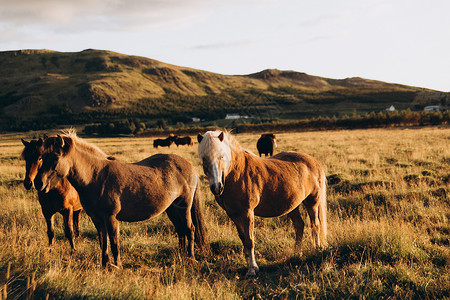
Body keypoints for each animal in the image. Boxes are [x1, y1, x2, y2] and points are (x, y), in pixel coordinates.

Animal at [35, 131, 211, 268]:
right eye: (42, 157)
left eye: (55, 158)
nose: (38, 183)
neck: (96, 177)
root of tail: (189, 165)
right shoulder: (97, 220)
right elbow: (103, 241)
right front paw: (105, 265)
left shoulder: (111, 218)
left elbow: (114, 242)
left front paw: (117, 265)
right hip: (172, 209)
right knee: (180, 230)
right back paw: (181, 256)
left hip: (184, 207)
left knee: (189, 229)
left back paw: (191, 259)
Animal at [197, 130, 326, 276]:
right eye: (204, 159)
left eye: (221, 156)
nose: (217, 187)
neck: (236, 173)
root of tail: (314, 162)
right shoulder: (233, 214)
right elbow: (243, 239)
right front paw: (251, 265)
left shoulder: (247, 213)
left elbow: (249, 241)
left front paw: (252, 270)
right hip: (293, 206)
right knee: (299, 225)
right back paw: (297, 254)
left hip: (312, 202)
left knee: (315, 225)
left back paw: (317, 249)